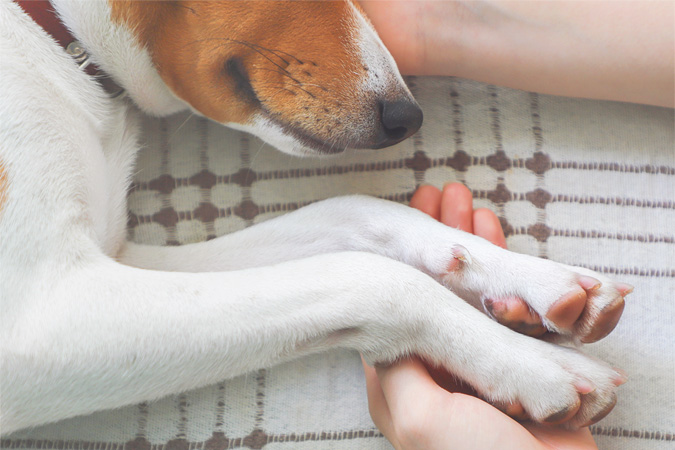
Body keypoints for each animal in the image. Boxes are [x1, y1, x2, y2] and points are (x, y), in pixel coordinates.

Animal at [0, 0, 632, 434]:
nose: (406, 116)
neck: (56, 42)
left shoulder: (114, 256)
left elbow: (354, 211)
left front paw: (533, 281)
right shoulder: (43, 314)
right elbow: (372, 278)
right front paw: (537, 365)